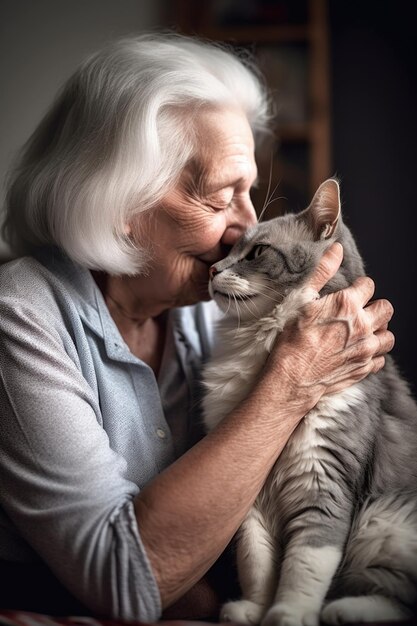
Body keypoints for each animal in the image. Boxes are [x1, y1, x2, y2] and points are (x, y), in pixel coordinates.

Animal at [201, 177, 416, 624]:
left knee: (397, 599)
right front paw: (254, 610)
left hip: (382, 521)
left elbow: (304, 566)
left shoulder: (321, 480)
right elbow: (257, 562)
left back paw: (343, 611)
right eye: (227, 251)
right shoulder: (252, 497)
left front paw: (287, 614)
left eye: (256, 253)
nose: (212, 270)